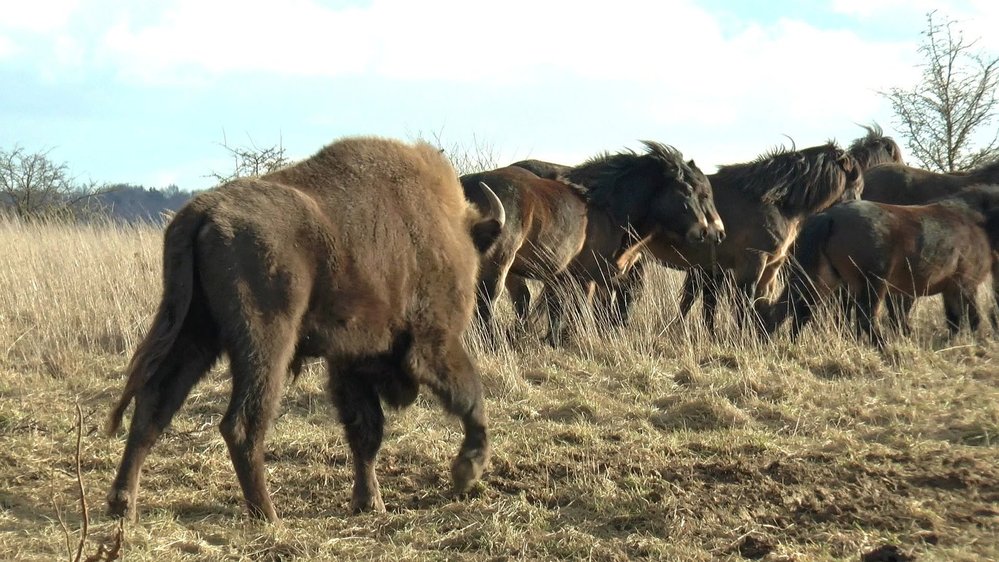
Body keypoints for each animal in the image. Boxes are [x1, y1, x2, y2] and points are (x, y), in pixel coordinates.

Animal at [464, 140, 724, 342]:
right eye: (692, 191)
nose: (710, 233)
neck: (606, 208)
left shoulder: (567, 275)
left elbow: (562, 308)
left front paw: (555, 339)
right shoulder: (592, 276)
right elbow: (588, 309)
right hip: (498, 265)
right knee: (487, 305)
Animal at [764, 184, 999, 346]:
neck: (976, 221)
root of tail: (829, 216)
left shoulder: (950, 289)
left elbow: (954, 320)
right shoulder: (966, 284)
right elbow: (973, 318)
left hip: (821, 280)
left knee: (795, 311)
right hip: (872, 284)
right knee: (866, 318)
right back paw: (885, 348)